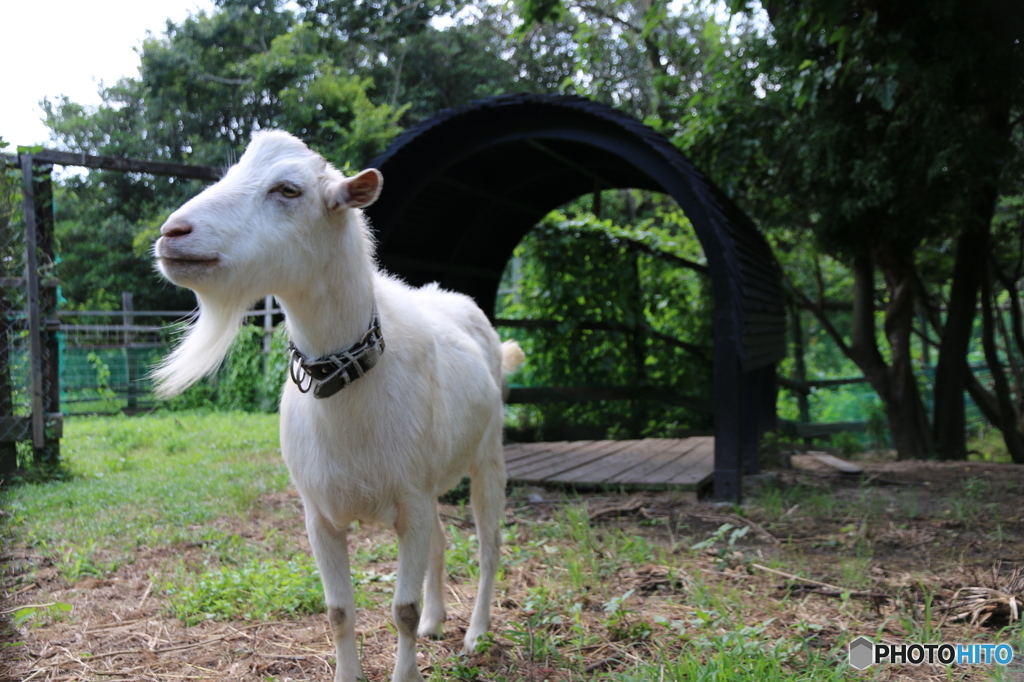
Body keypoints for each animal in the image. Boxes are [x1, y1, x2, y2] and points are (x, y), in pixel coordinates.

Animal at [152, 129, 528, 679]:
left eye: (288, 190)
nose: (172, 233)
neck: (348, 388)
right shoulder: (321, 514)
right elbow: (337, 611)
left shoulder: (410, 502)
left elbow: (401, 609)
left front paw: (406, 671)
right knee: (441, 541)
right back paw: (437, 621)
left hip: (488, 456)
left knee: (488, 547)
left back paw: (476, 632)